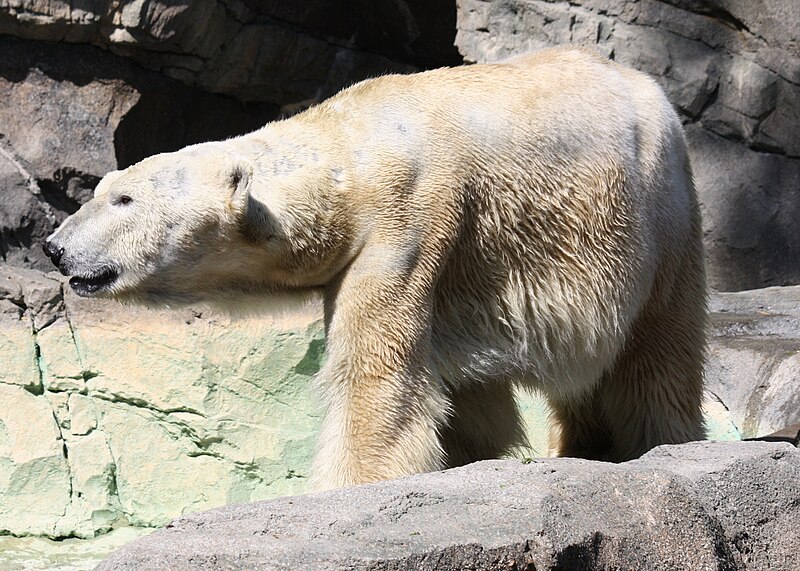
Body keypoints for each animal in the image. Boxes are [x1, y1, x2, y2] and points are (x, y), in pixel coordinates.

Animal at [43, 47, 708, 490]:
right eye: (103, 189)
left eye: (123, 199)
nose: (55, 247)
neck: (354, 150)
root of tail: (650, 89)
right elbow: (460, 394)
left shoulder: (406, 223)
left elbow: (378, 375)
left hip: (656, 210)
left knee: (656, 345)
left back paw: (658, 441)